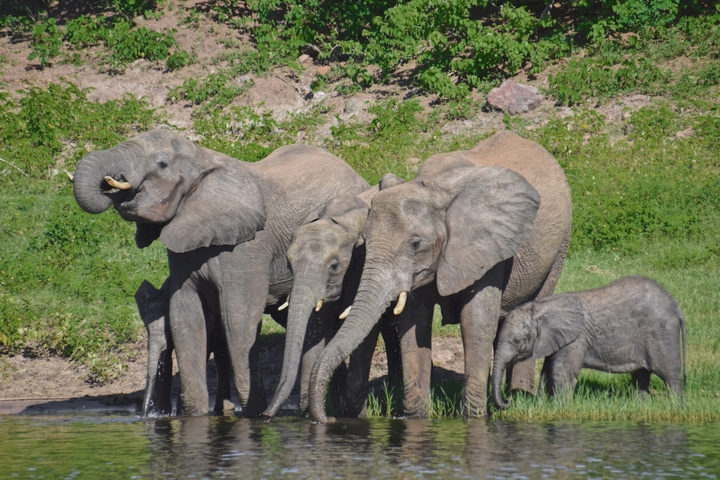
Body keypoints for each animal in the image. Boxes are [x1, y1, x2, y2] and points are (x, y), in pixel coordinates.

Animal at [135, 278, 234, 417]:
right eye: (146, 327)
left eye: (169, 327)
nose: (143, 415)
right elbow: (166, 361)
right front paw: (162, 413)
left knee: (221, 356)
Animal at [263, 173, 406, 419]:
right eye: (289, 265)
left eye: (334, 266)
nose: (265, 415)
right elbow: (316, 330)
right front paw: (309, 417)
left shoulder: (364, 261)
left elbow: (363, 333)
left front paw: (354, 416)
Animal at [309, 130, 573, 422]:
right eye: (364, 241)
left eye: (416, 244)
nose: (330, 419)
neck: (433, 188)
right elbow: (414, 324)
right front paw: (416, 418)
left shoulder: (484, 247)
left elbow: (475, 322)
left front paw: (474, 419)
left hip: (559, 245)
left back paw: (519, 396)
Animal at [491, 276, 687, 408]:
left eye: (517, 340)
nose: (508, 400)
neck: (541, 307)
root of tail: (677, 307)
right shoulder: (556, 339)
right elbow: (548, 370)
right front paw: (543, 404)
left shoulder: (576, 338)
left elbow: (563, 371)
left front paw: (562, 407)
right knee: (641, 376)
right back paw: (642, 406)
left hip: (661, 333)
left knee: (668, 373)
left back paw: (676, 406)